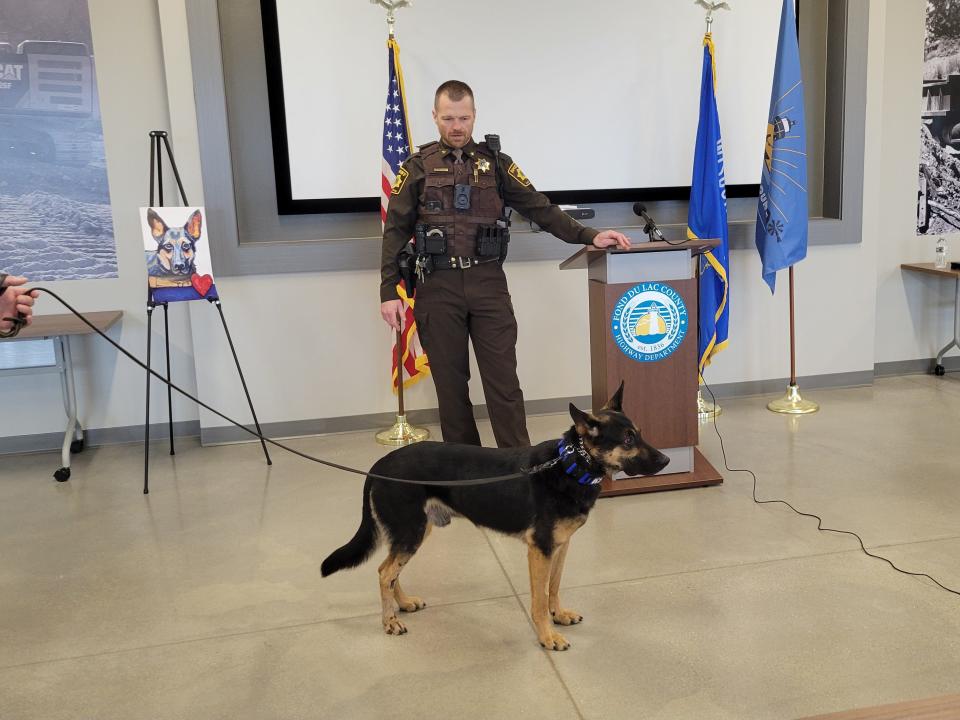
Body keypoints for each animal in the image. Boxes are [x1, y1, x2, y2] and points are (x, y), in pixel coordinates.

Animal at [322, 386, 668, 648]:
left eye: (639, 434)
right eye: (627, 439)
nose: (666, 460)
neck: (570, 464)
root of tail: (379, 465)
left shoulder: (560, 546)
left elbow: (554, 586)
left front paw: (558, 615)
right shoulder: (540, 550)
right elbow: (539, 598)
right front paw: (547, 636)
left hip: (416, 532)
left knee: (390, 570)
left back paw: (403, 603)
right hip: (411, 532)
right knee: (384, 572)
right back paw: (389, 621)